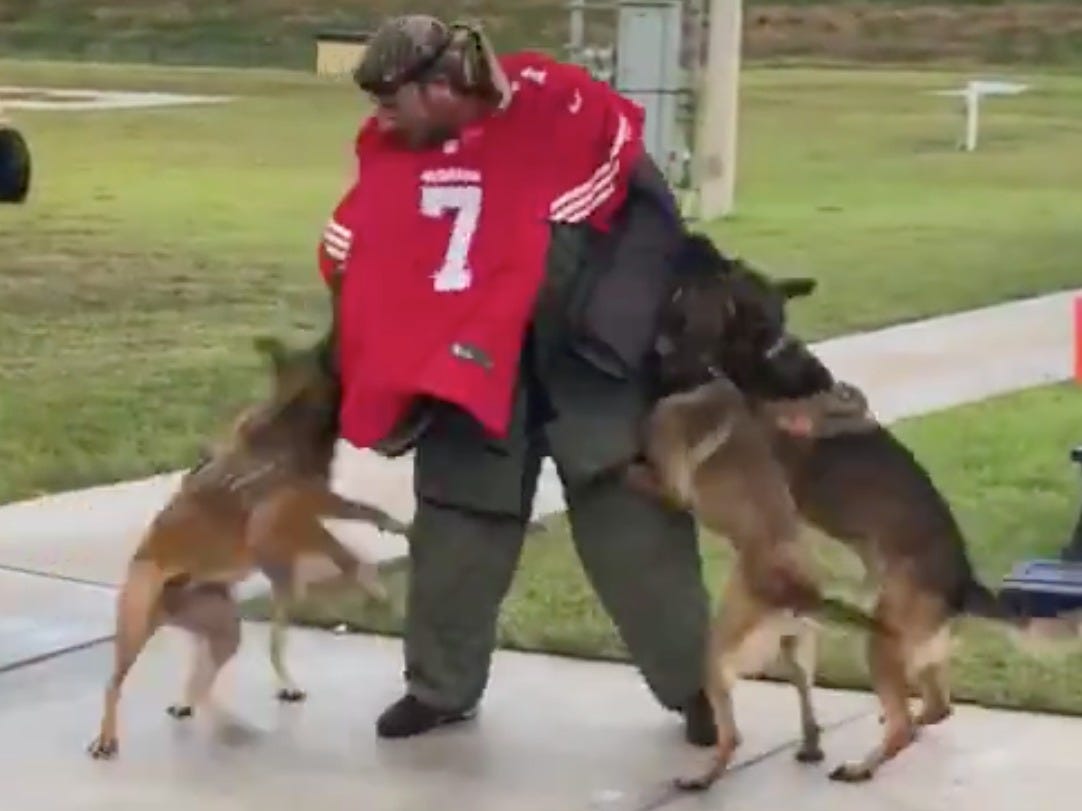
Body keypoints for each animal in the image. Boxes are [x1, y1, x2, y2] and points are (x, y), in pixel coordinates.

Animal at [87, 322, 408, 761]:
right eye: (327, 348)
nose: (338, 325)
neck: (290, 419)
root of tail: (169, 608)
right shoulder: (282, 521)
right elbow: (341, 549)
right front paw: (373, 580)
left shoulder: (312, 507)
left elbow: (361, 512)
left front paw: (394, 528)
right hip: (136, 621)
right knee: (114, 684)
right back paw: (108, 737)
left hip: (224, 627)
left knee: (207, 675)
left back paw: (210, 709)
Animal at [653, 233, 1077, 787]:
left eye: (723, 270)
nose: (694, 239)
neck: (765, 353)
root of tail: (963, 584)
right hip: (916, 648)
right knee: (936, 706)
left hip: (884, 640)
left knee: (906, 726)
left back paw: (862, 765)